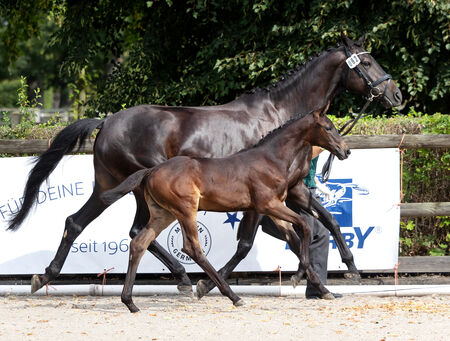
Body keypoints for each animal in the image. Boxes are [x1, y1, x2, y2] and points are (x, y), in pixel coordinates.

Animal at [103, 107, 350, 312]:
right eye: (328, 127)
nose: (345, 151)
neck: (271, 159)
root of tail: (151, 171)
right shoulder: (268, 204)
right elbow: (304, 228)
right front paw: (298, 277)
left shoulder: (274, 209)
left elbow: (295, 238)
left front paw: (320, 287)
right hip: (185, 209)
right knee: (192, 248)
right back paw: (232, 296)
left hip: (163, 214)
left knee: (139, 243)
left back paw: (130, 302)